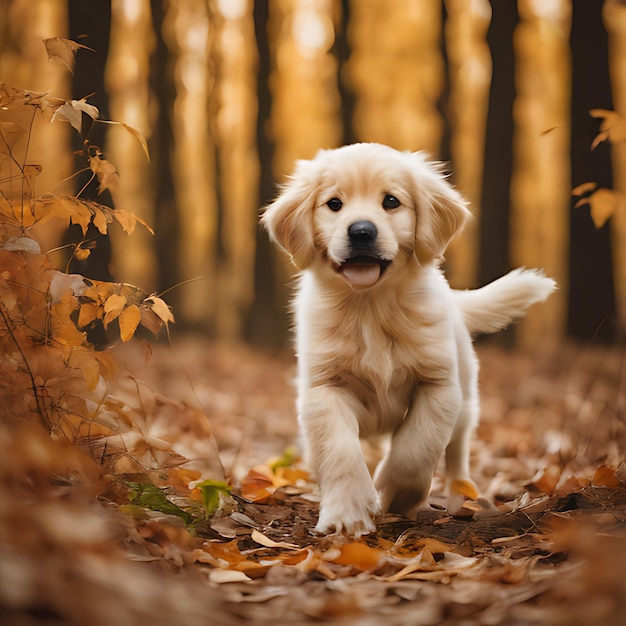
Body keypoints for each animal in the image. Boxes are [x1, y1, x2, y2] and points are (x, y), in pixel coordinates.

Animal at [260, 143, 552, 536]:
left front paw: (395, 494)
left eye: (391, 201)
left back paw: (462, 496)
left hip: (466, 398)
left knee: (457, 452)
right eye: (334, 204)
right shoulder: (324, 388)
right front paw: (347, 514)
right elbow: (340, 450)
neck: (370, 307)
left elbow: (416, 447)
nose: (361, 232)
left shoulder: (439, 385)